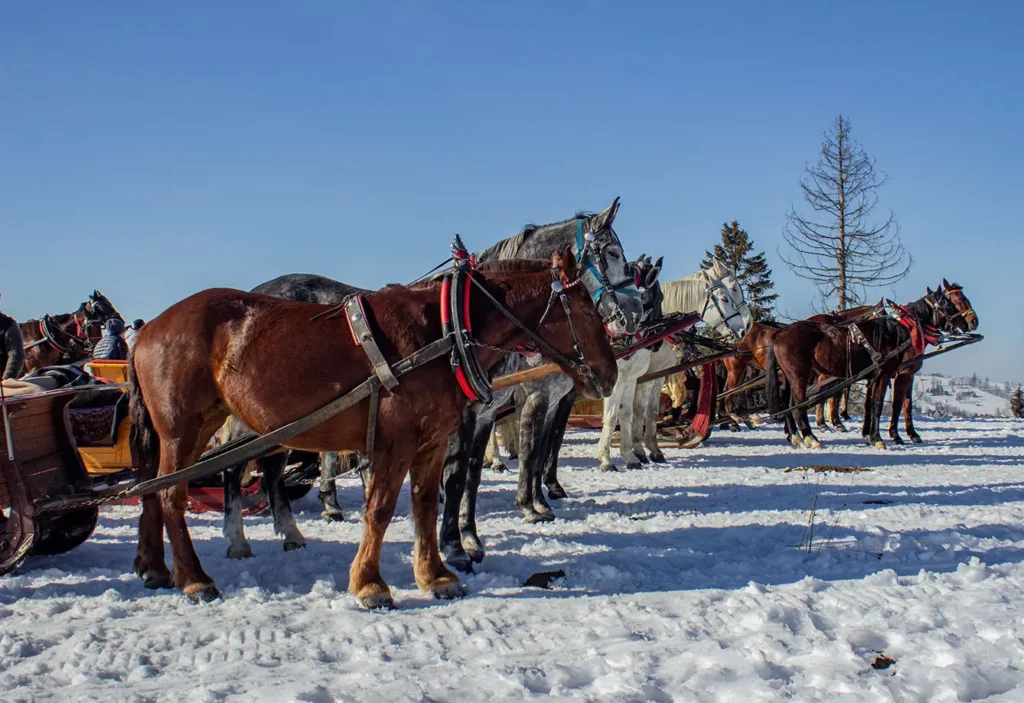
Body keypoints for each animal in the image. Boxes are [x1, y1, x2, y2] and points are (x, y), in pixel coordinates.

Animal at [132, 252, 618, 605]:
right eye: (585, 307)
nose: (610, 373)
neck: (444, 331)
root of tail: (149, 328)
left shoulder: (432, 440)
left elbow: (426, 505)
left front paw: (436, 575)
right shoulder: (395, 441)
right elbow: (381, 509)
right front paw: (370, 584)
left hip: (201, 425)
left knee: (153, 487)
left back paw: (156, 567)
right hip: (183, 427)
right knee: (173, 493)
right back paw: (196, 577)